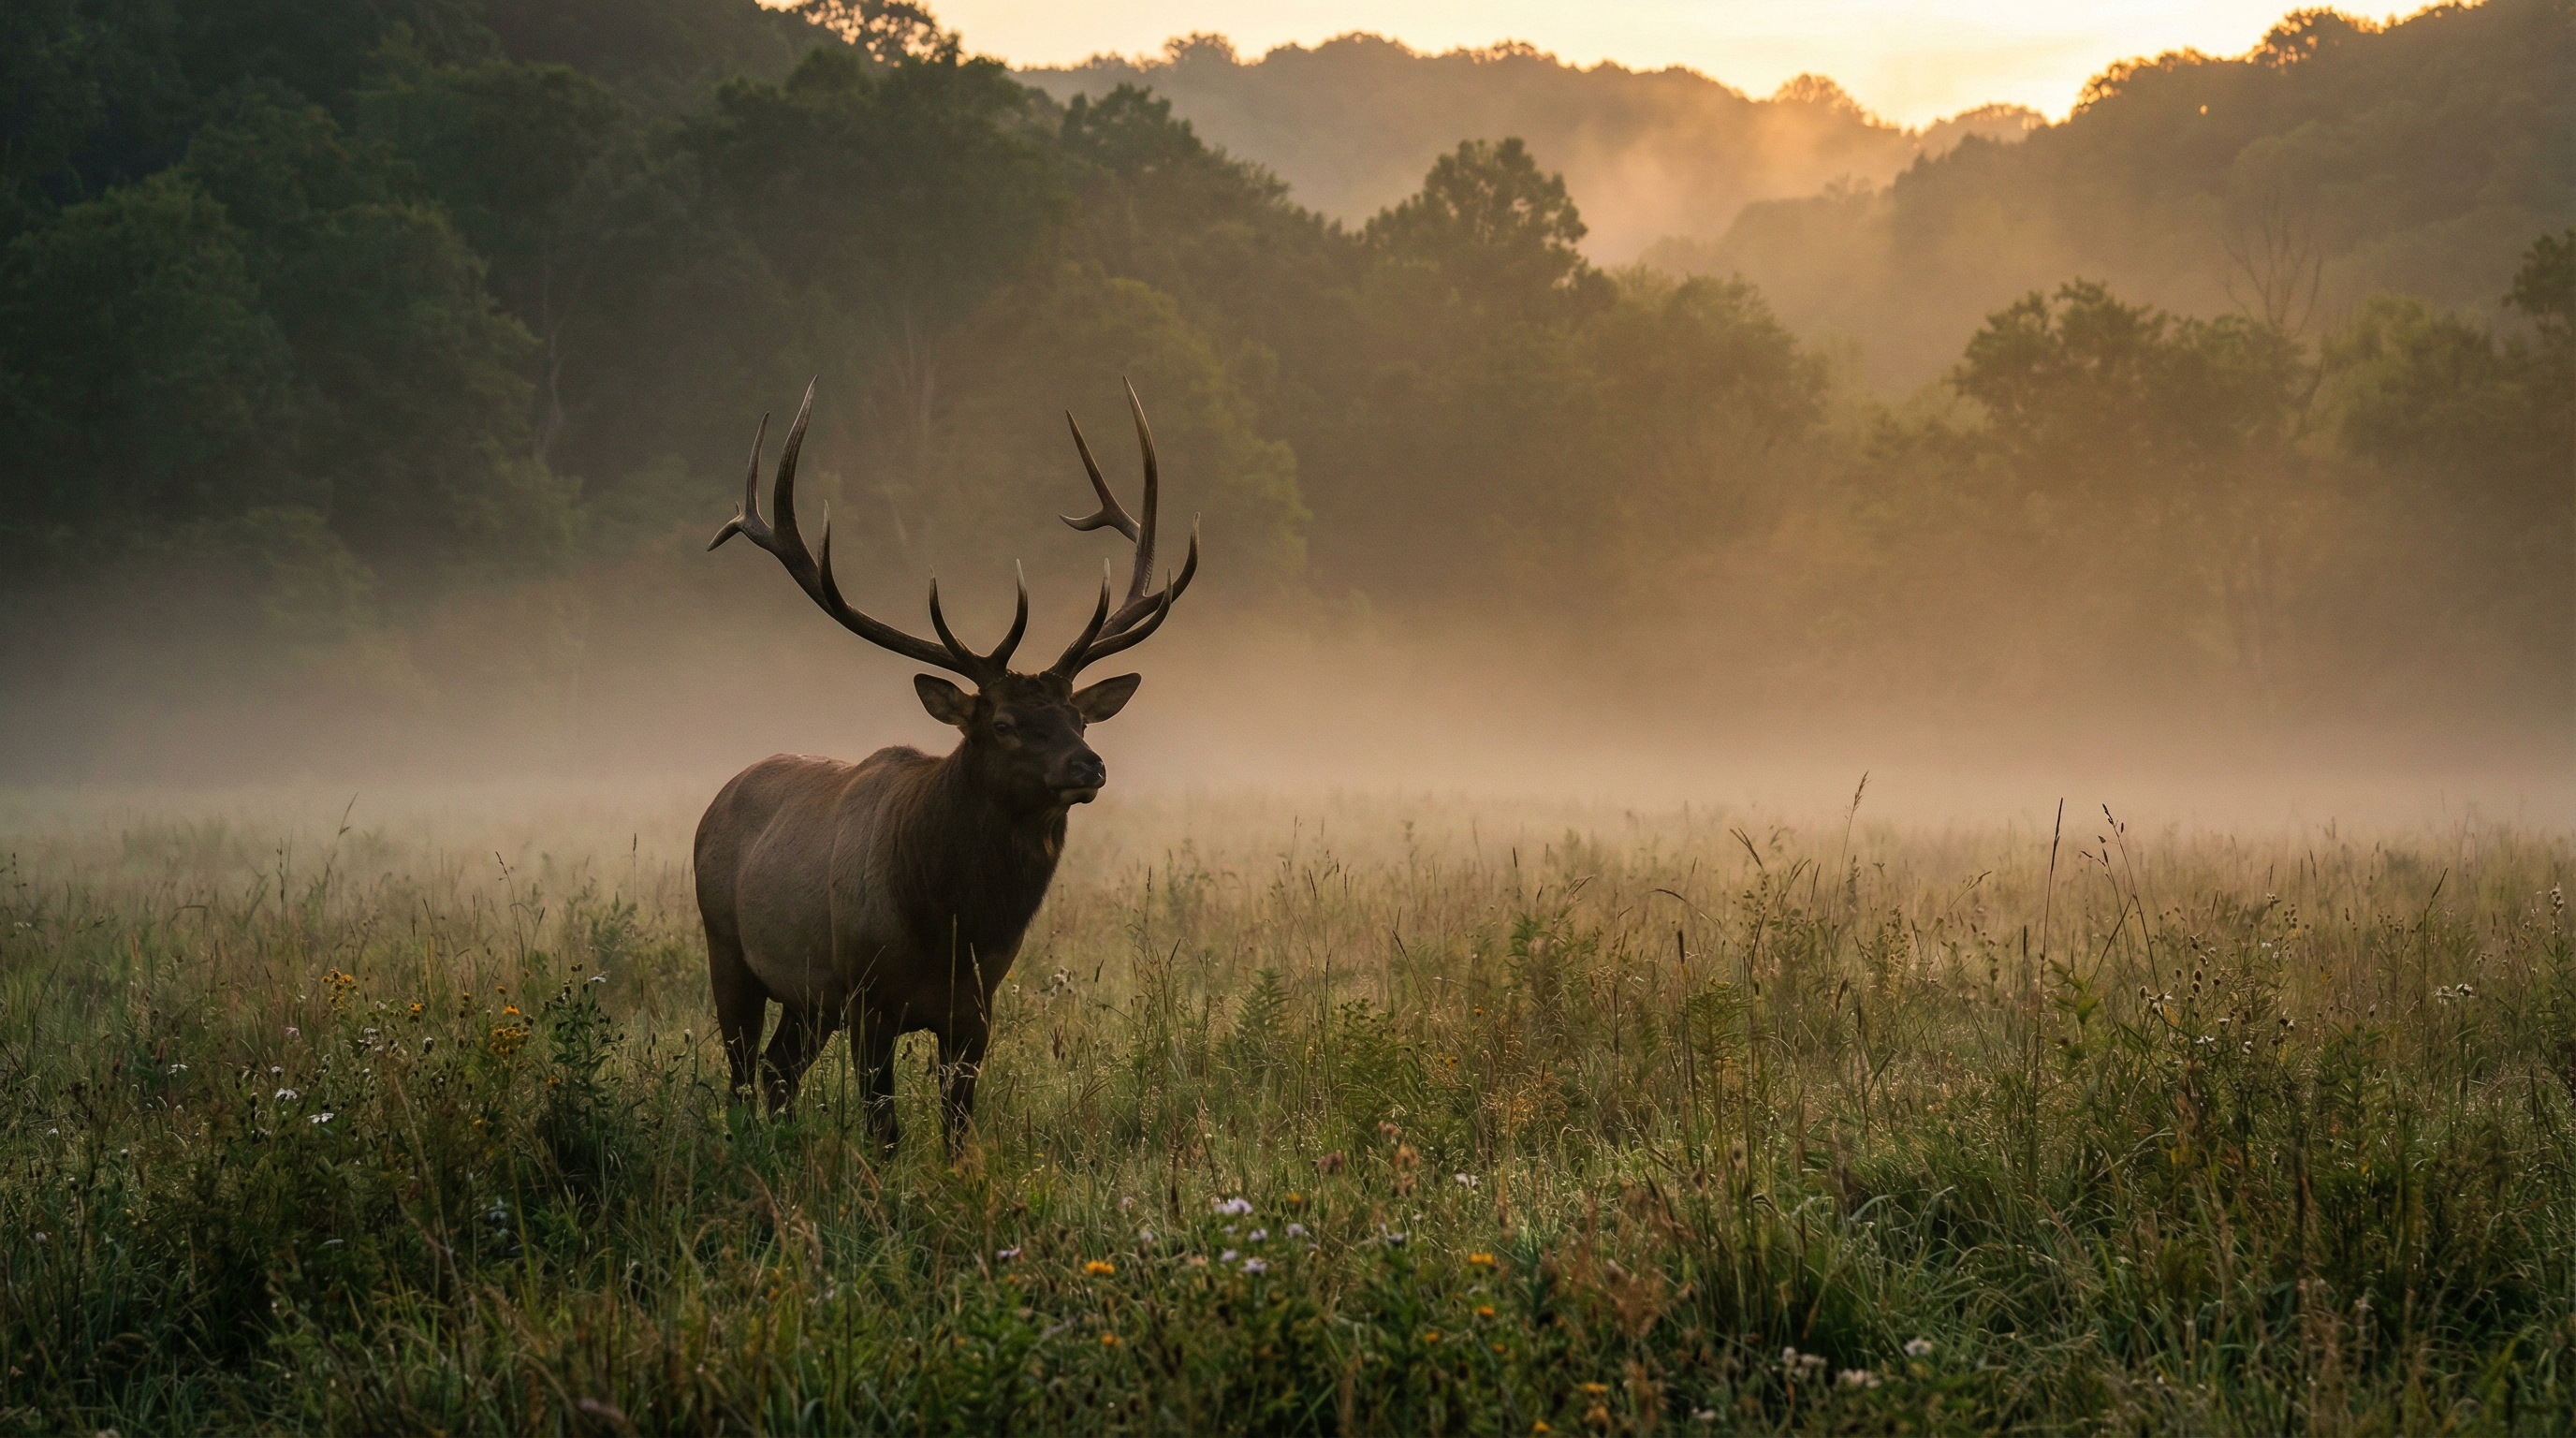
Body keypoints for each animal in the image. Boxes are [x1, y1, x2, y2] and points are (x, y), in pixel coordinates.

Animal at [693, 379, 1196, 1154]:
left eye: (1079, 717)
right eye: (1003, 724)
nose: (1091, 765)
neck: (954, 926)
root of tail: (718, 798)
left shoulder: (977, 1010)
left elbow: (960, 1132)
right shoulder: (868, 999)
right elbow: (885, 1130)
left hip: (809, 999)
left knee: (779, 1073)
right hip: (730, 952)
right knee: (744, 1077)